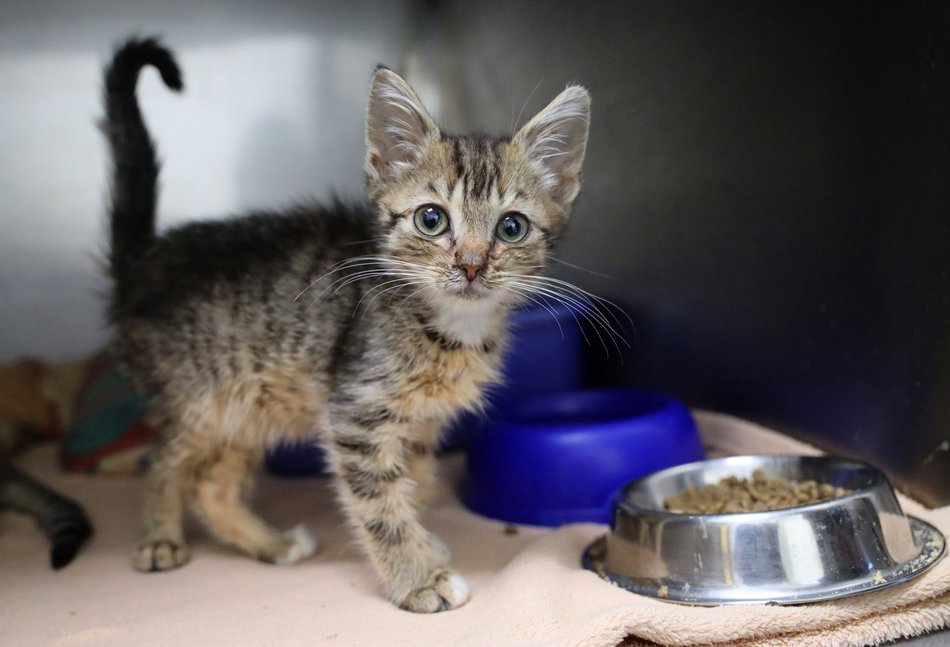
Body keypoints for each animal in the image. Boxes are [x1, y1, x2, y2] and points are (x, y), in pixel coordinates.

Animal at [104, 38, 592, 616]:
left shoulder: (419, 425)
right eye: (431, 219)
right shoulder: (356, 415)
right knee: (163, 460)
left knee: (211, 486)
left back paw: (273, 545)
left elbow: (413, 484)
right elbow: (379, 504)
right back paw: (160, 538)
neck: (449, 328)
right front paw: (417, 578)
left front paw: (424, 545)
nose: (472, 266)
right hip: (198, 397)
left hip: (249, 407)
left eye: (512, 227)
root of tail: (143, 262)